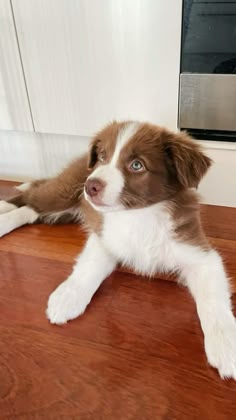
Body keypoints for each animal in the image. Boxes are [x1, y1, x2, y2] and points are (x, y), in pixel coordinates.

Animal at [0, 121, 236, 380]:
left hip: (64, 209)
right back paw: (4, 210)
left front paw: (226, 344)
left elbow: (213, 300)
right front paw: (67, 298)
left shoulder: (199, 252)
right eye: (103, 157)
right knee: (30, 198)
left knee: (31, 211)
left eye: (137, 165)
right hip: (63, 193)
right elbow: (88, 268)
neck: (140, 216)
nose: (90, 186)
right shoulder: (105, 236)